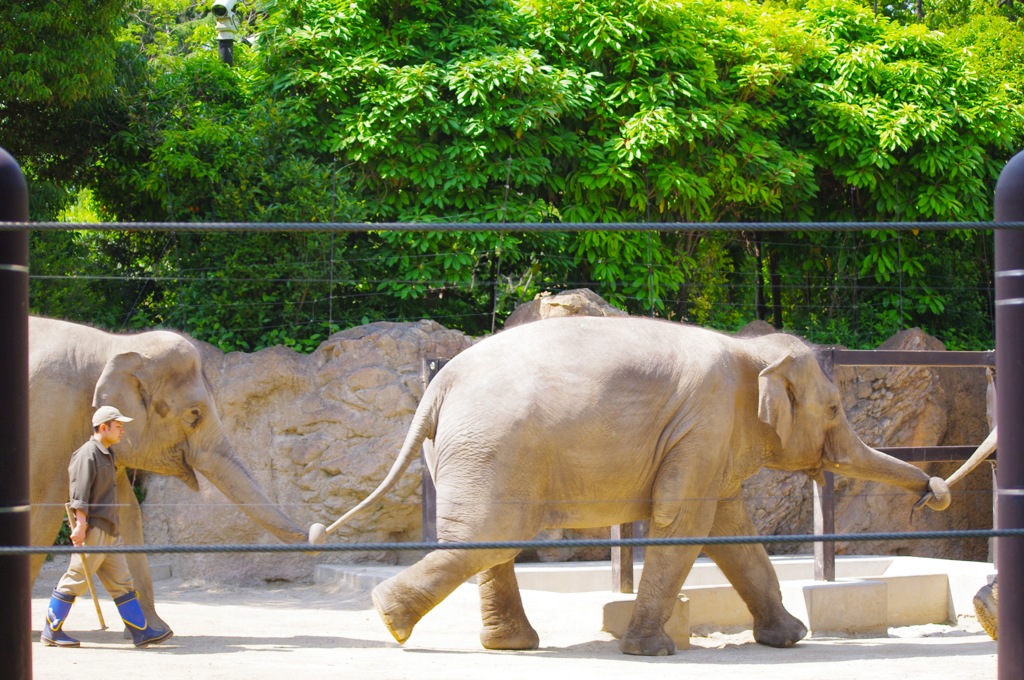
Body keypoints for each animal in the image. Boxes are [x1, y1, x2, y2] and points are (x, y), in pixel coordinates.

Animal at [28, 317, 307, 630]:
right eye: (194, 415)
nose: (318, 530)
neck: (114, 345)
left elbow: (125, 512)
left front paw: (155, 632)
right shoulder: (53, 416)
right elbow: (44, 510)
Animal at [311, 315, 950, 655]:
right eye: (837, 409)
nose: (936, 492)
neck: (751, 351)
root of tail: (439, 385)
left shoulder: (709, 439)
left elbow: (730, 528)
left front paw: (789, 639)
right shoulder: (705, 422)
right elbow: (683, 523)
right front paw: (653, 652)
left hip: (477, 450)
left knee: (491, 541)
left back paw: (501, 644)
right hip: (494, 444)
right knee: (489, 538)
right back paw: (390, 618)